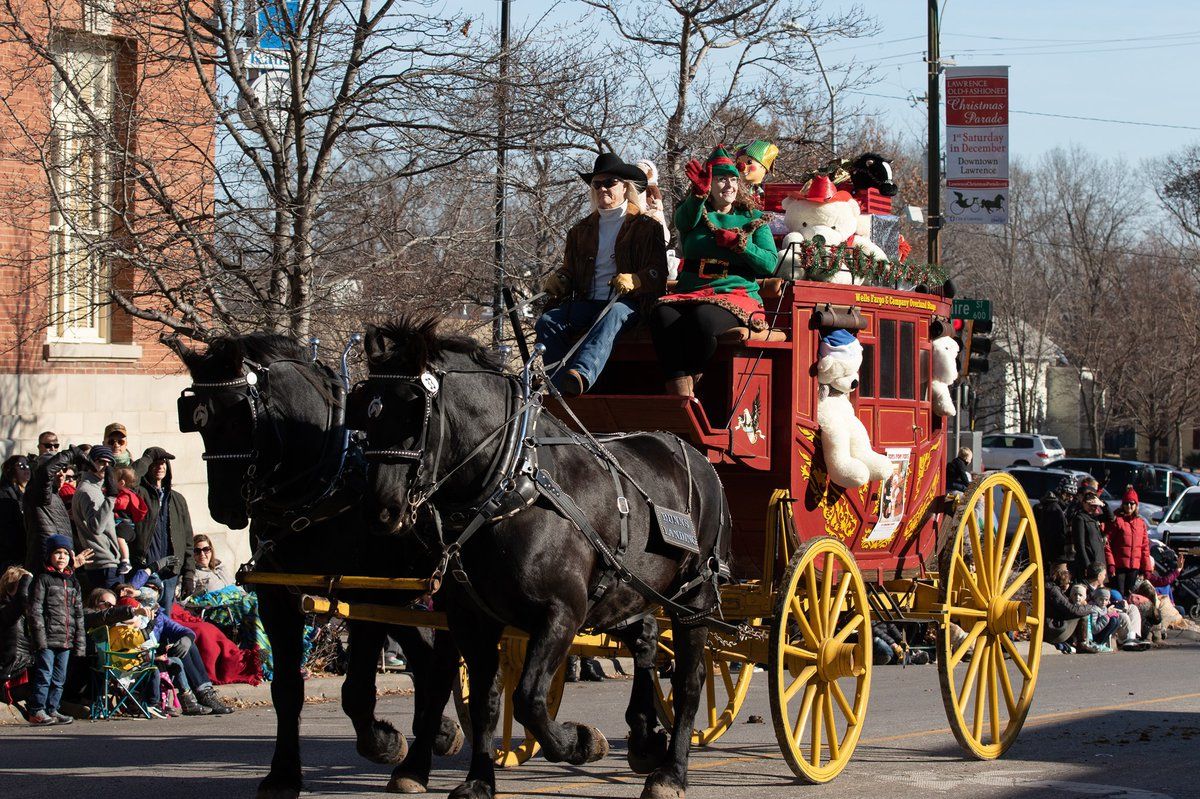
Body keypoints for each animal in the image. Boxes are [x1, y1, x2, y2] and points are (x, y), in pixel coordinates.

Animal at [169, 333, 463, 791]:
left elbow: (356, 690)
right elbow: (287, 690)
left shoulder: (364, 597)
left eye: (238, 417)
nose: (223, 507)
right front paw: (283, 772)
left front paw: (382, 742)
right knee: (430, 657)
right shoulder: (278, 597)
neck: (325, 485)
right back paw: (440, 735)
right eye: (195, 421)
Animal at [355, 316, 729, 796]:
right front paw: (479, 780)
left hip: (694, 597)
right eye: (366, 409)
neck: (508, 485)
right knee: (646, 639)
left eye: (413, 409)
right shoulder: (472, 619)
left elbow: (529, 698)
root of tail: (697, 458)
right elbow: (486, 700)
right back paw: (646, 737)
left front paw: (580, 742)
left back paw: (672, 771)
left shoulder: (561, 612)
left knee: (689, 680)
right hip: (628, 592)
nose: (380, 509)